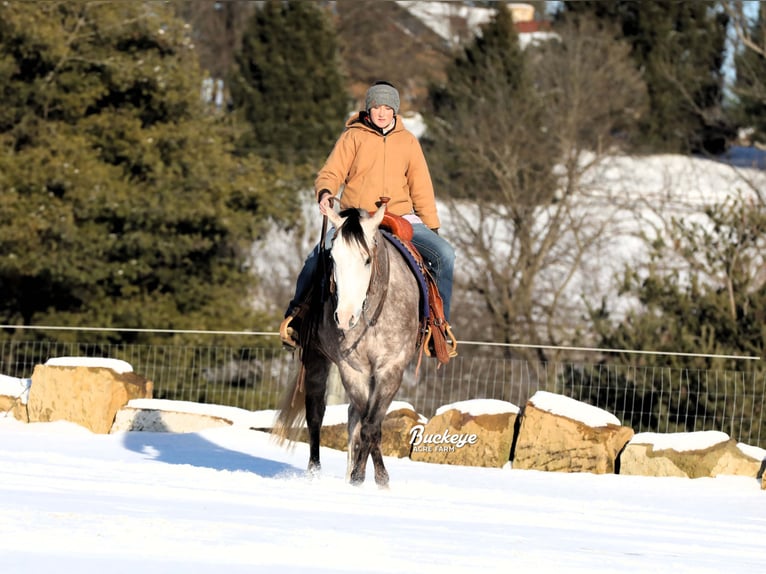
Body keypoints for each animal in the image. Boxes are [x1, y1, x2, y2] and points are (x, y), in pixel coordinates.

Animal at [274, 200, 420, 488]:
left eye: (367, 259)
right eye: (332, 260)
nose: (344, 317)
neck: (372, 315)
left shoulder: (391, 369)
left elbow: (371, 424)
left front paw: (373, 478)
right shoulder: (353, 370)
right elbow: (364, 422)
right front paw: (360, 477)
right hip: (315, 358)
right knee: (316, 414)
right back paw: (315, 472)